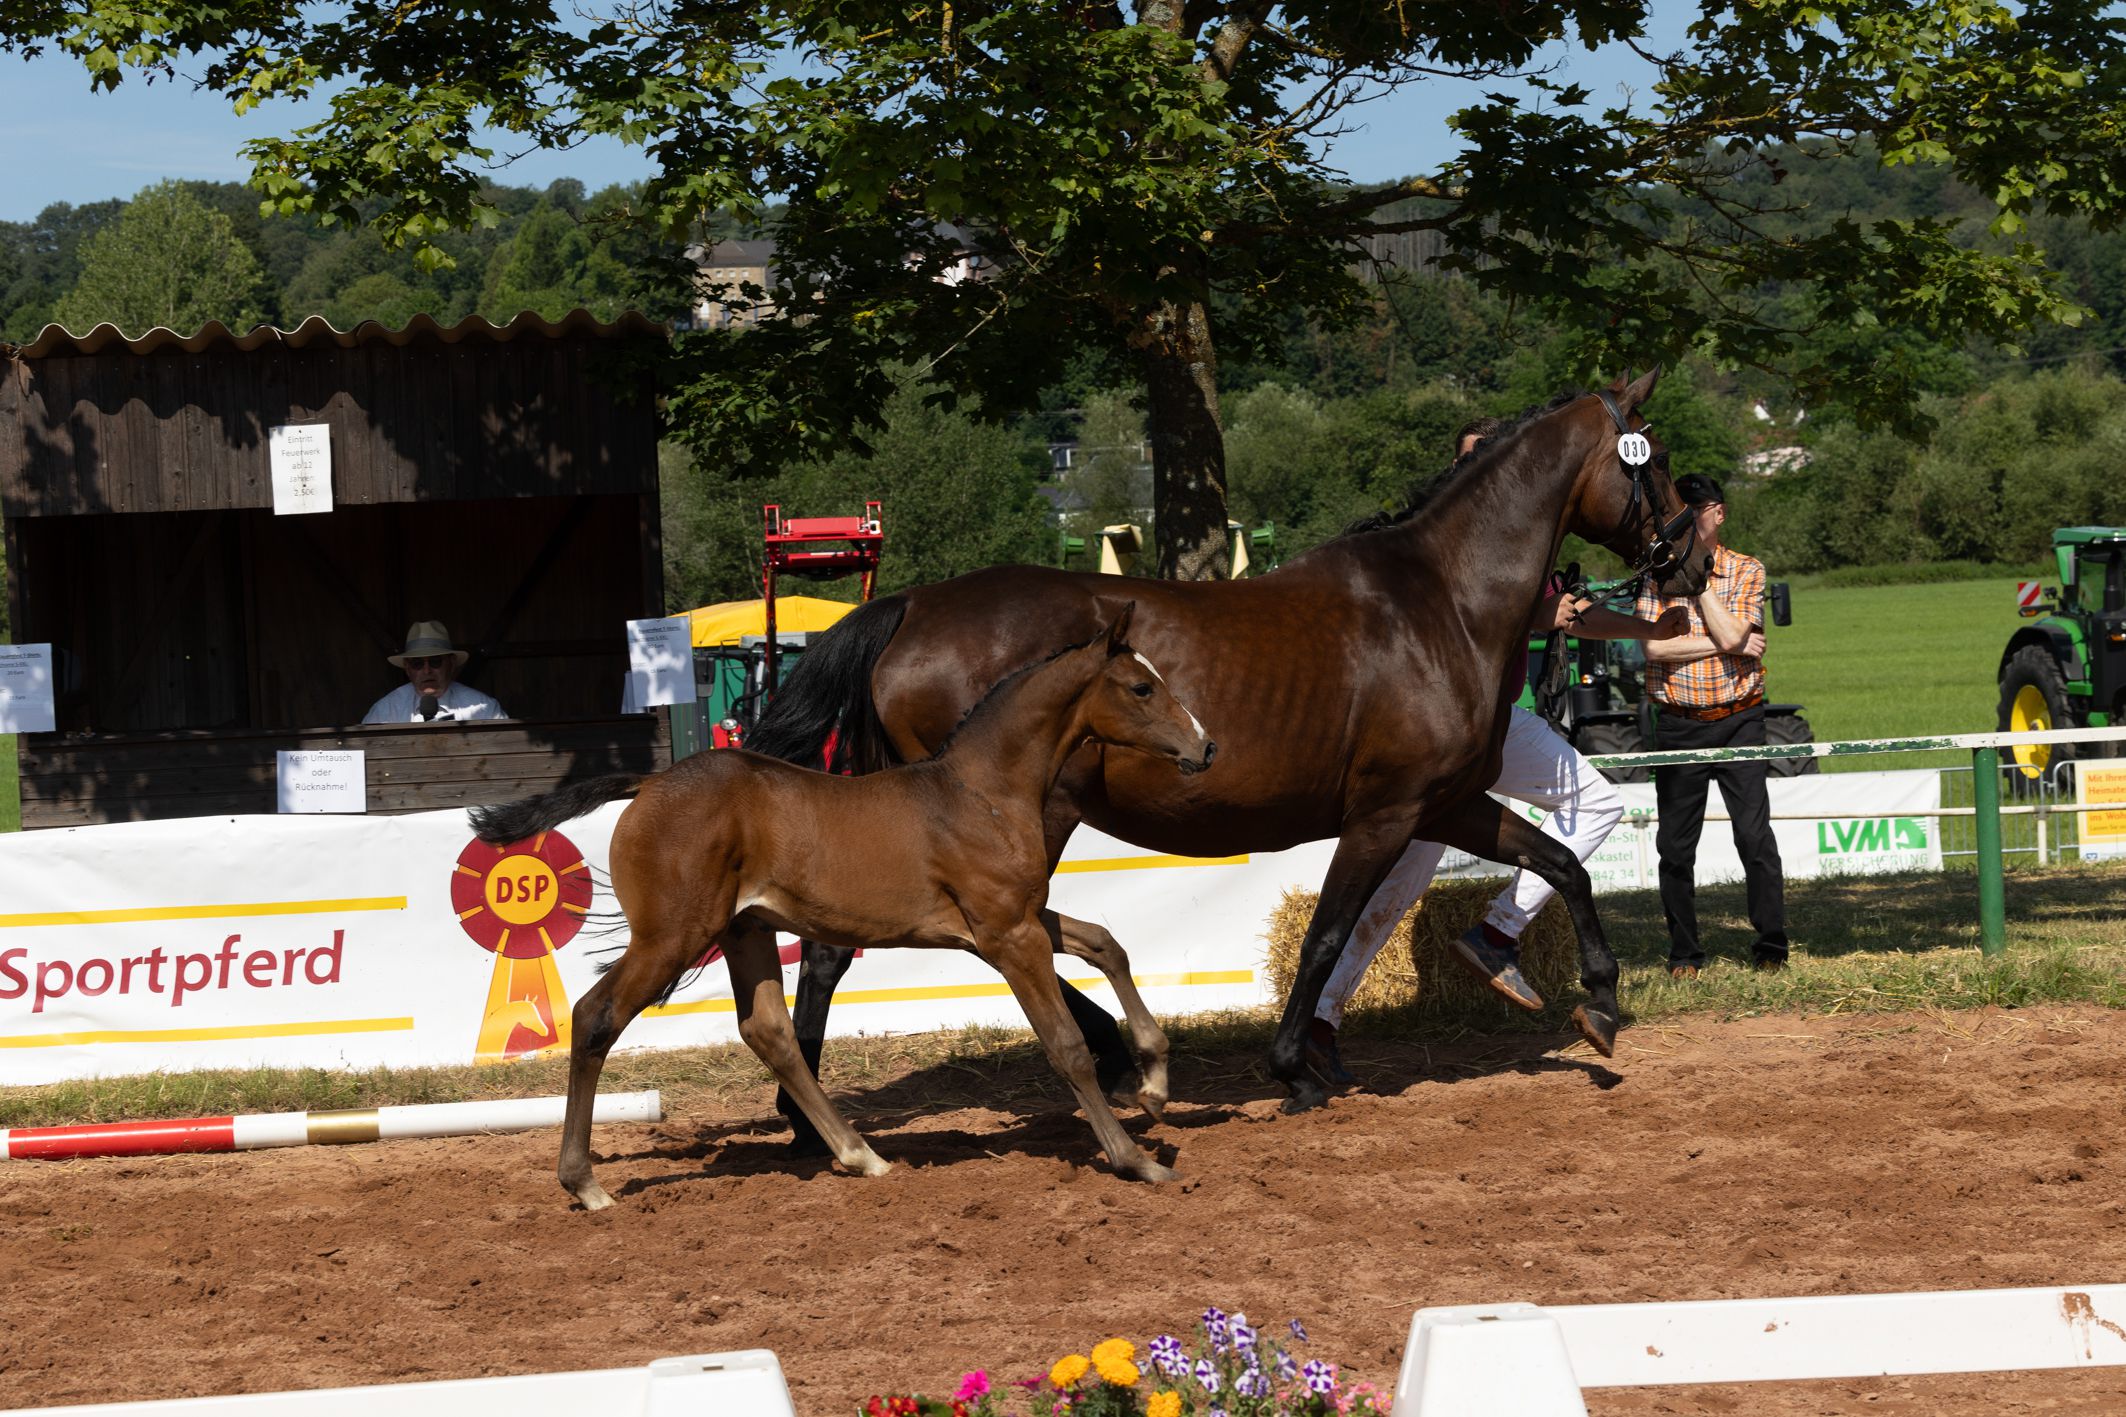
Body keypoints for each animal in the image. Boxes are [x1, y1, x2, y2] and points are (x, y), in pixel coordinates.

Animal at [478, 603, 1216, 1215]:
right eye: (1142, 687)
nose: (1205, 746)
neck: (980, 791)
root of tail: (651, 782)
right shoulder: (1008, 935)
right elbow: (1066, 1045)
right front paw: (1135, 1159)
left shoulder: (1022, 920)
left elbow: (1107, 943)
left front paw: (1154, 1083)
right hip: (671, 936)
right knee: (595, 1016)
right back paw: (585, 1182)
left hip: (744, 930)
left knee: (769, 1031)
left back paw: (862, 1154)